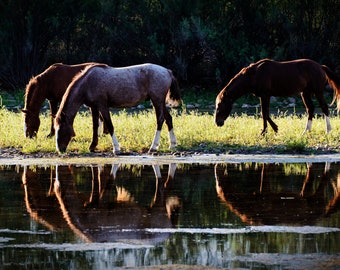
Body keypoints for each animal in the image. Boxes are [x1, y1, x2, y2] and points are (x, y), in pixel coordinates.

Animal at [53, 62, 181, 153]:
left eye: (62, 128)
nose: (60, 150)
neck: (88, 82)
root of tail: (167, 71)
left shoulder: (103, 106)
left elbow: (110, 125)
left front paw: (116, 148)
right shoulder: (93, 107)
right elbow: (95, 126)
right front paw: (93, 146)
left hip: (157, 101)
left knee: (160, 120)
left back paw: (153, 147)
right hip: (160, 102)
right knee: (168, 119)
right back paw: (172, 144)